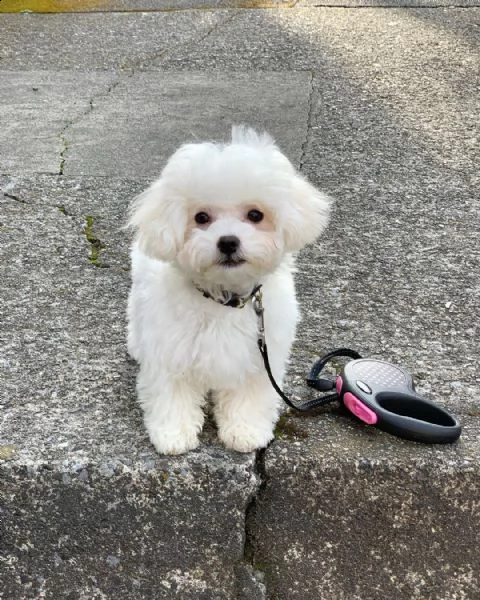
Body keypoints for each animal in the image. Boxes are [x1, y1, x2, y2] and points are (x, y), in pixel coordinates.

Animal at [127, 127, 330, 454]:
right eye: (201, 217)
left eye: (256, 215)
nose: (228, 241)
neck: (225, 297)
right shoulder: (172, 349)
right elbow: (172, 393)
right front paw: (173, 434)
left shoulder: (258, 356)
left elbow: (249, 396)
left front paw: (246, 430)